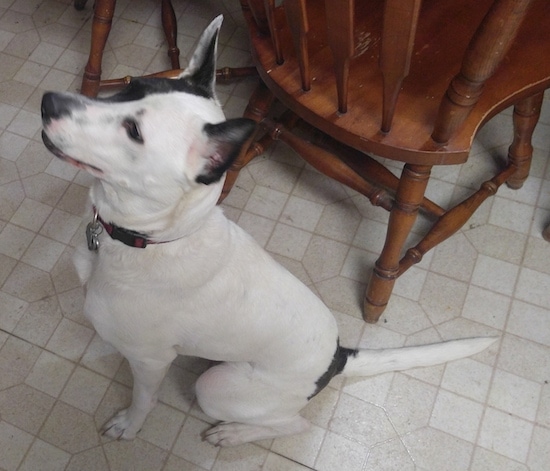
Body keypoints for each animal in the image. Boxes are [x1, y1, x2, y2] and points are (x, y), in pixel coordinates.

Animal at [38, 16, 496, 448]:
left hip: (217, 387)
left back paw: (233, 434)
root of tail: (338, 358)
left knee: (293, 423)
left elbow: (143, 398)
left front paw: (130, 425)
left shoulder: (152, 361)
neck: (151, 240)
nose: (48, 101)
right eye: (131, 86)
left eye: (134, 132)